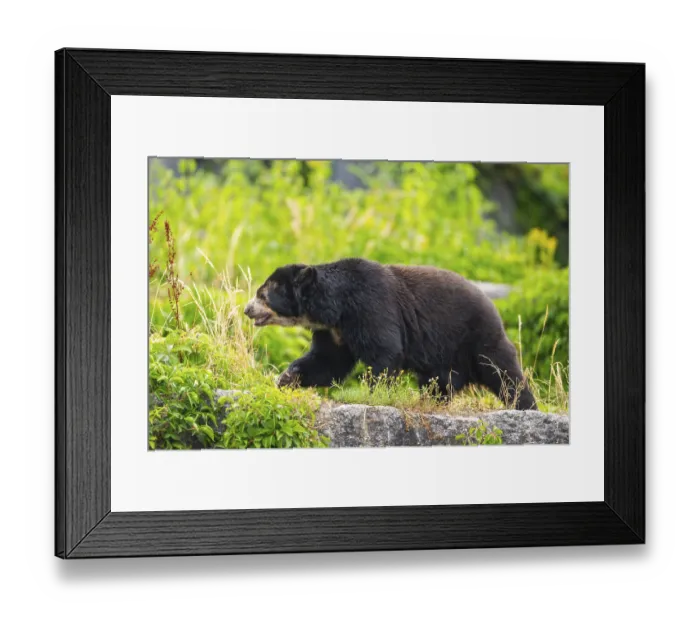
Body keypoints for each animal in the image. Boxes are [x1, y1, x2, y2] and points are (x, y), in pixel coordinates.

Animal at [243, 258, 537, 410]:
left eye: (262, 294)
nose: (247, 309)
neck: (337, 307)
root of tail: (491, 303)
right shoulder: (334, 331)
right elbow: (328, 361)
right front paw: (286, 377)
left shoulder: (370, 307)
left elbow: (384, 351)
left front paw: (376, 395)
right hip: (443, 356)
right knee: (440, 381)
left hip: (475, 336)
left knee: (502, 371)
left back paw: (525, 405)